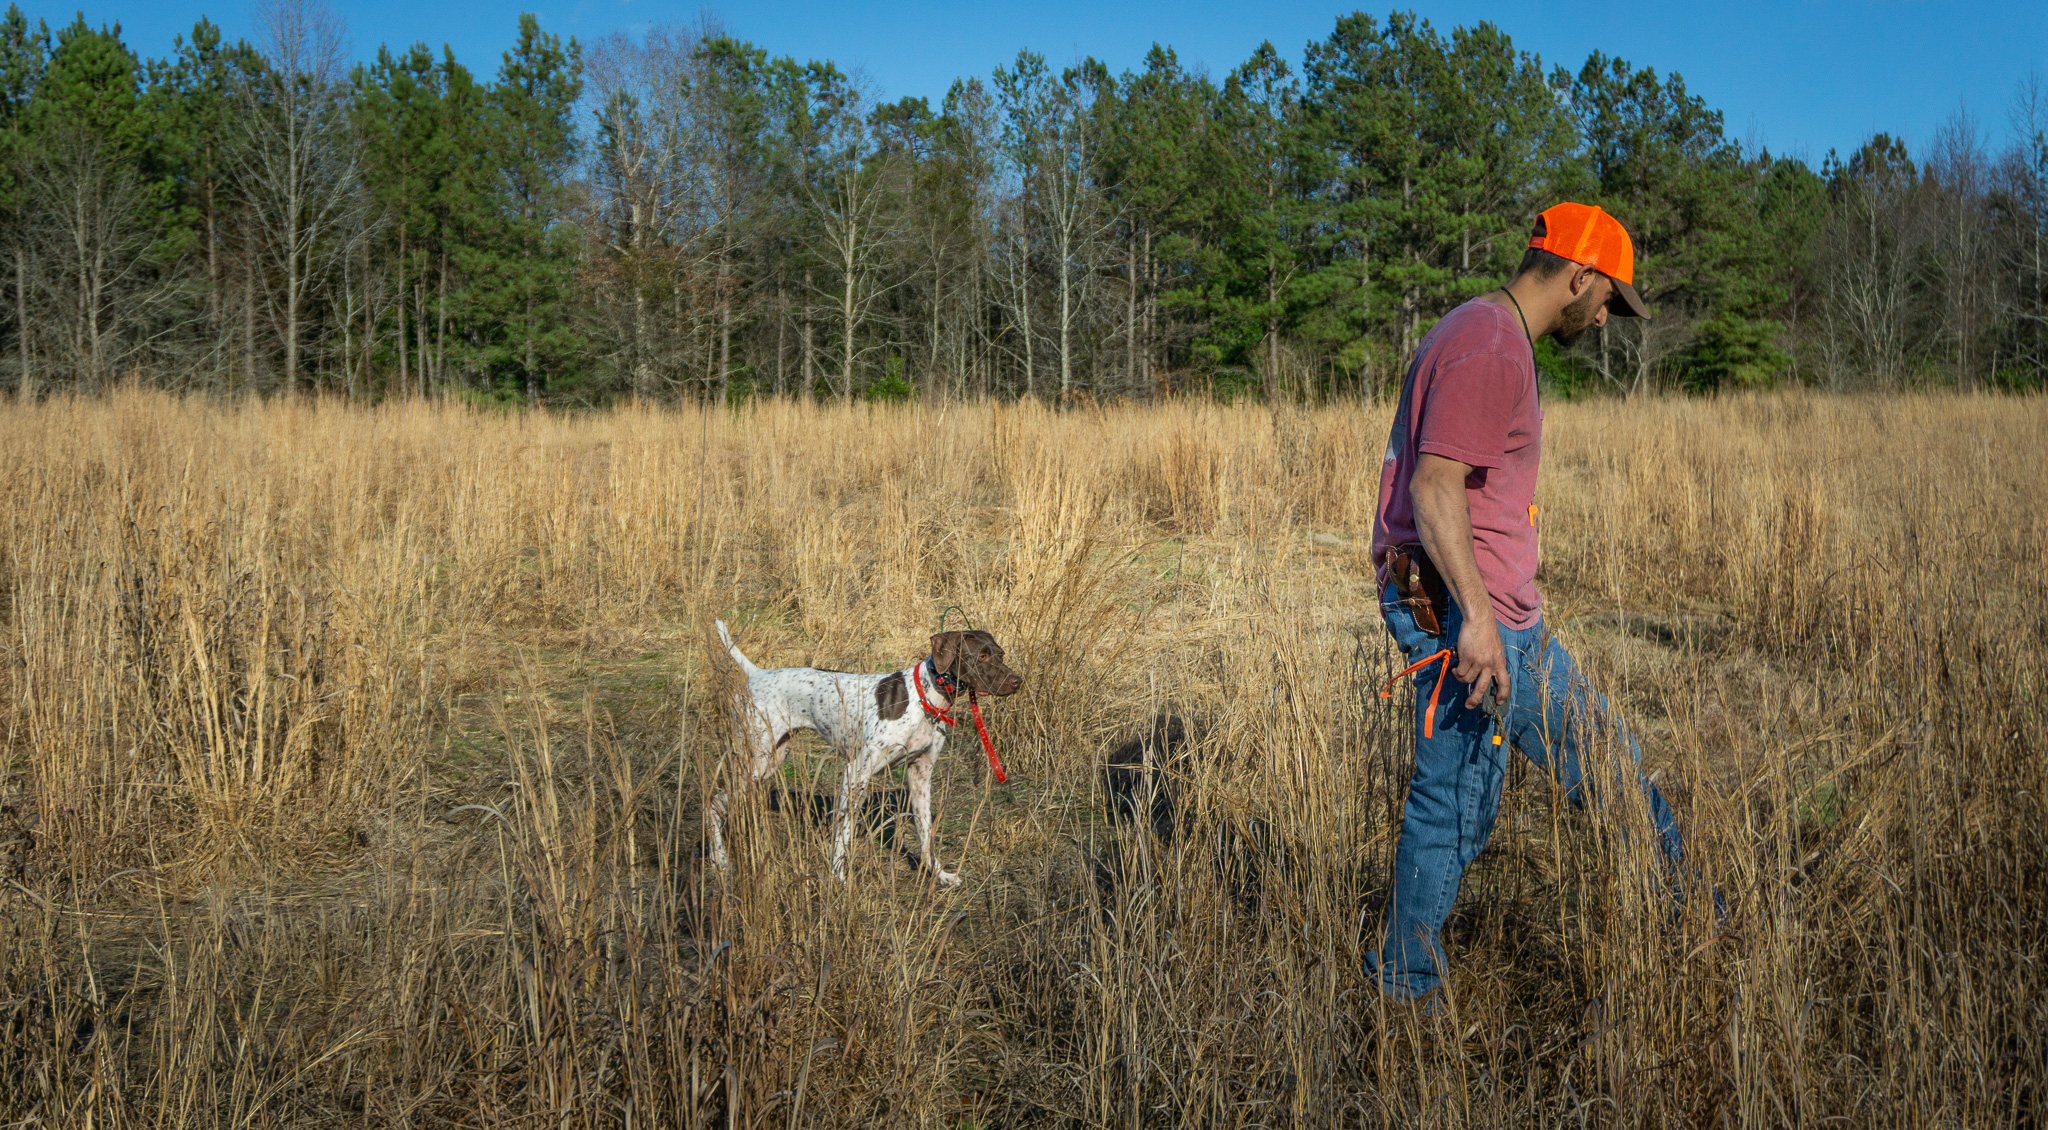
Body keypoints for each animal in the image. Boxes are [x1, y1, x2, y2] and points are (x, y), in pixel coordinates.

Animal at [712, 622, 1024, 888]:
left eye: (1000, 654)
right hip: (756, 758)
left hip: (770, 761)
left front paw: (939, 874)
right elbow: (843, 833)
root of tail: (757, 674)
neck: (925, 699)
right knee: (713, 802)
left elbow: (926, 834)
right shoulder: (855, 774)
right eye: (981, 656)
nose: (1017, 681)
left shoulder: (920, 775)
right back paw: (720, 860)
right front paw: (838, 877)